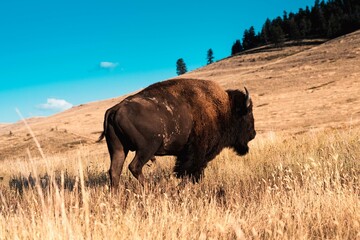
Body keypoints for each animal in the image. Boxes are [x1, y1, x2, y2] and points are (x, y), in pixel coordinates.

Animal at [98, 78, 256, 188]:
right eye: (248, 113)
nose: (253, 134)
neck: (223, 110)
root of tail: (116, 109)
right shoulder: (197, 153)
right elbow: (190, 171)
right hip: (147, 149)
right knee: (134, 167)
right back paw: (149, 189)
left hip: (118, 149)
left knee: (115, 171)